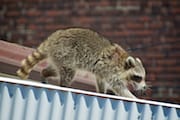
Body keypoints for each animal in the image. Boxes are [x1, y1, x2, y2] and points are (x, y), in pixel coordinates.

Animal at [16, 27, 146, 98]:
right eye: (138, 77)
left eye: (143, 77)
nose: (144, 87)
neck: (123, 63)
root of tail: (54, 38)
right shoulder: (110, 69)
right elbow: (118, 87)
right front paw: (133, 97)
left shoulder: (102, 70)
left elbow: (100, 80)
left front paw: (102, 91)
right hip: (65, 52)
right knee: (69, 73)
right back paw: (63, 85)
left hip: (59, 57)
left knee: (56, 70)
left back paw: (44, 73)